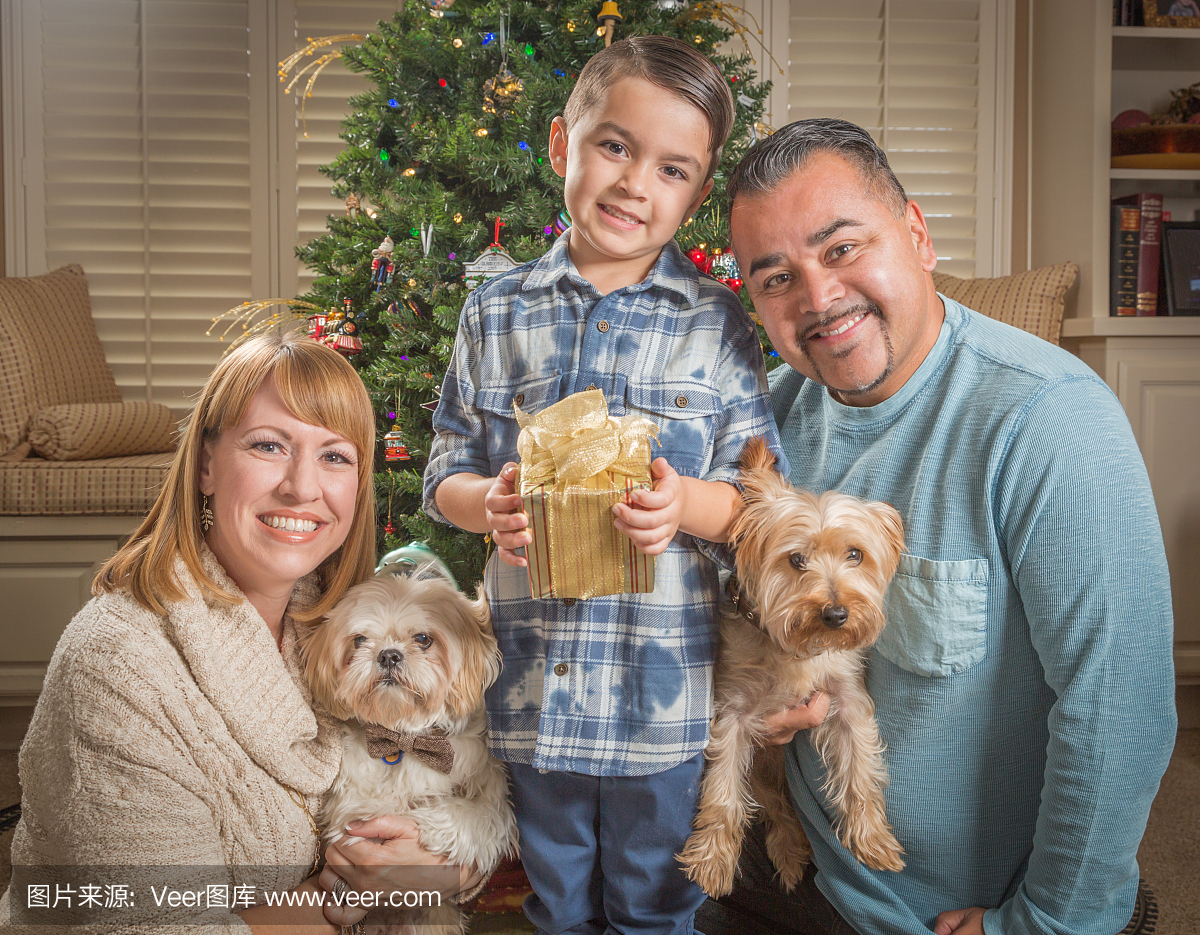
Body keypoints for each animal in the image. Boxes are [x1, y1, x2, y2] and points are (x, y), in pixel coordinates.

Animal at [300, 573, 516, 931]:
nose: (388, 655)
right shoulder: (349, 798)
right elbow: (361, 807)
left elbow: (474, 816)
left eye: (424, 639)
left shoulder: (493, 799)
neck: (402, 737)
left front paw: (425, 822)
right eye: (360, 640)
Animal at [681, 439, 902, 897]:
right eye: (796, 559)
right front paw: (712, 861)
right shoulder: (734, 714)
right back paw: (788, 849)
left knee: (782, 805)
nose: (836, 614)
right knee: (774, 803)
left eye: (855, 554)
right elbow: (723, 793)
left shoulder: (847, 701)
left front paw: (872, 836)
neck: (796, 651)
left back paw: (791, 849)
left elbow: (860, 771)